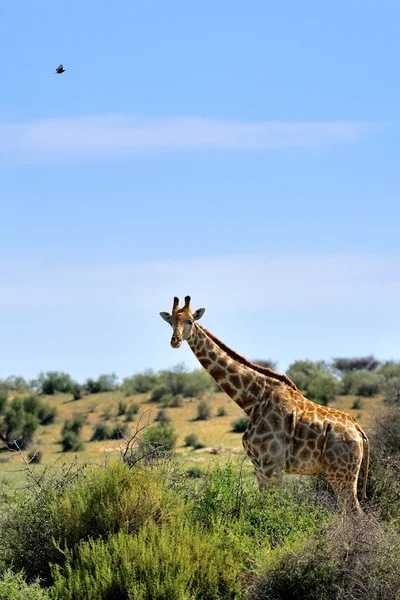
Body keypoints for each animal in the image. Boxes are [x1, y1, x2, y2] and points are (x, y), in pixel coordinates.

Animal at [159, 298, 368, 512]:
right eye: (171, 321)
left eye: (190, 321)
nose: (175, 340)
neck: (253, 400)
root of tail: (359, 431)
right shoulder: (258, 465)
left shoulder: (270, 463)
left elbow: (275, 508)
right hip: (342, 473)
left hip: (341, 473)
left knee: (355, 512)